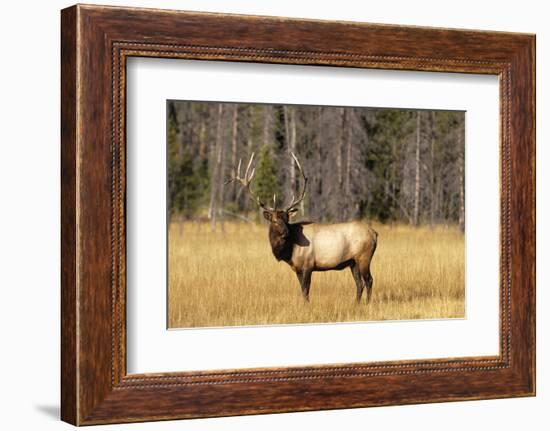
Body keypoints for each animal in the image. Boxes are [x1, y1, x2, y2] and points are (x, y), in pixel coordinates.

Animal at [226, 152, 378, 304]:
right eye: (275, 220)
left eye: (287, 219)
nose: (286, 232)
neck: (289, 252)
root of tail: (375, 233)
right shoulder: (298, 268)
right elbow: (303, 290)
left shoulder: (307, 265)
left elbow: (306, 290)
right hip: (353, 262)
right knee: (359, 283)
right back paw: (357, 303)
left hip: (364, 257)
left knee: (369, 280)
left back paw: (367, 303)